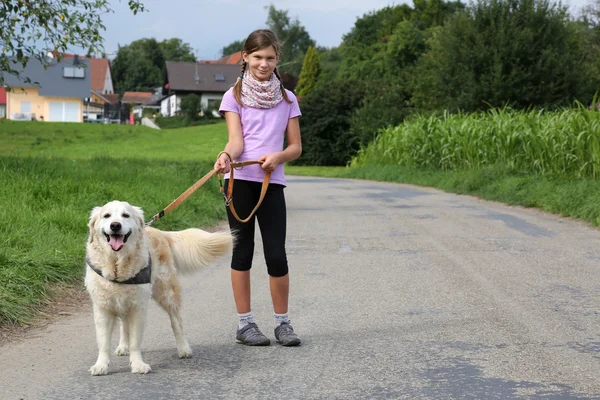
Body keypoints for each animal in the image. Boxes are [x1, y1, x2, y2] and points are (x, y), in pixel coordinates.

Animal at [84, 202, 232, 376]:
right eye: (106, 216)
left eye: (126, 215)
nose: (115, 225)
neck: (117, 263)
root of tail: (160, 232)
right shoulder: (103, 308)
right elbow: (103, 342)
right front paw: (101, 365)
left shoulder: (138, 308)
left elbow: (135, 342)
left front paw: (138, 365)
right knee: (124, 325)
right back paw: (123, 346)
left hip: (166, 292)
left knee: (176, 322)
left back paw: (183, 348)